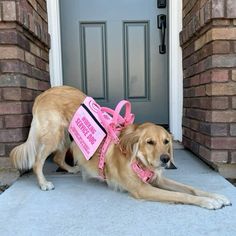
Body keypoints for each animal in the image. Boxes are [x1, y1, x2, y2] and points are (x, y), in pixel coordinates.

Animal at [10, 85, 230, 209]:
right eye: (149, 142)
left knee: (57, 158)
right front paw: (209, 202)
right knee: (37, 161)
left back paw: (72, 169)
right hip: (54, 135)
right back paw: (43, 183)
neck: (139, 159)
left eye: (166, 142)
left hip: (67, 137)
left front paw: (216, 196)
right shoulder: (143, 189)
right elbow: (181, 195)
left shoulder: (158, 179)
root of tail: (44, 93)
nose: (166, 159)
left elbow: (191, 188)